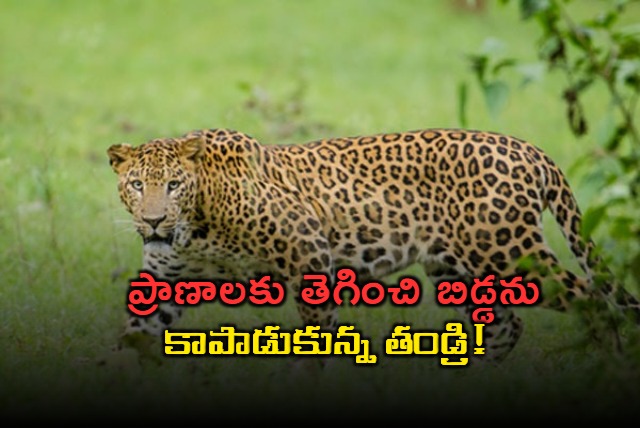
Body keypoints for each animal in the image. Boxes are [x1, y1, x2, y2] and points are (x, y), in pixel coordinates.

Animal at [107, 128, 640, 363]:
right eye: (136, 185)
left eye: (173, 185)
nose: (153, 221)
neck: (196, 222)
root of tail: (530, 149)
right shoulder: (165, 280)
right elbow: (132, 336)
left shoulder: (309, 253)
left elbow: (316, 338)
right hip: (459, 270)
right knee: (508, 325)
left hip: (509, 254)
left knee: (594, 301)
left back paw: (603, 371)